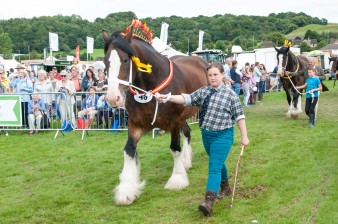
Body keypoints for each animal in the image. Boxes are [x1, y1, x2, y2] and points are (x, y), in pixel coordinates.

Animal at [102, 20, 209, 205]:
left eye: (125, 60)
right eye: (105, 62)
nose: (113, 98)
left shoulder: (174, 121)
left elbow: (175, 148)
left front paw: (177, 179)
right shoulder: (135, 124)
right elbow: (129, 151)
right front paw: (127, 189)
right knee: (187, 133)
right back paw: (186, 161)